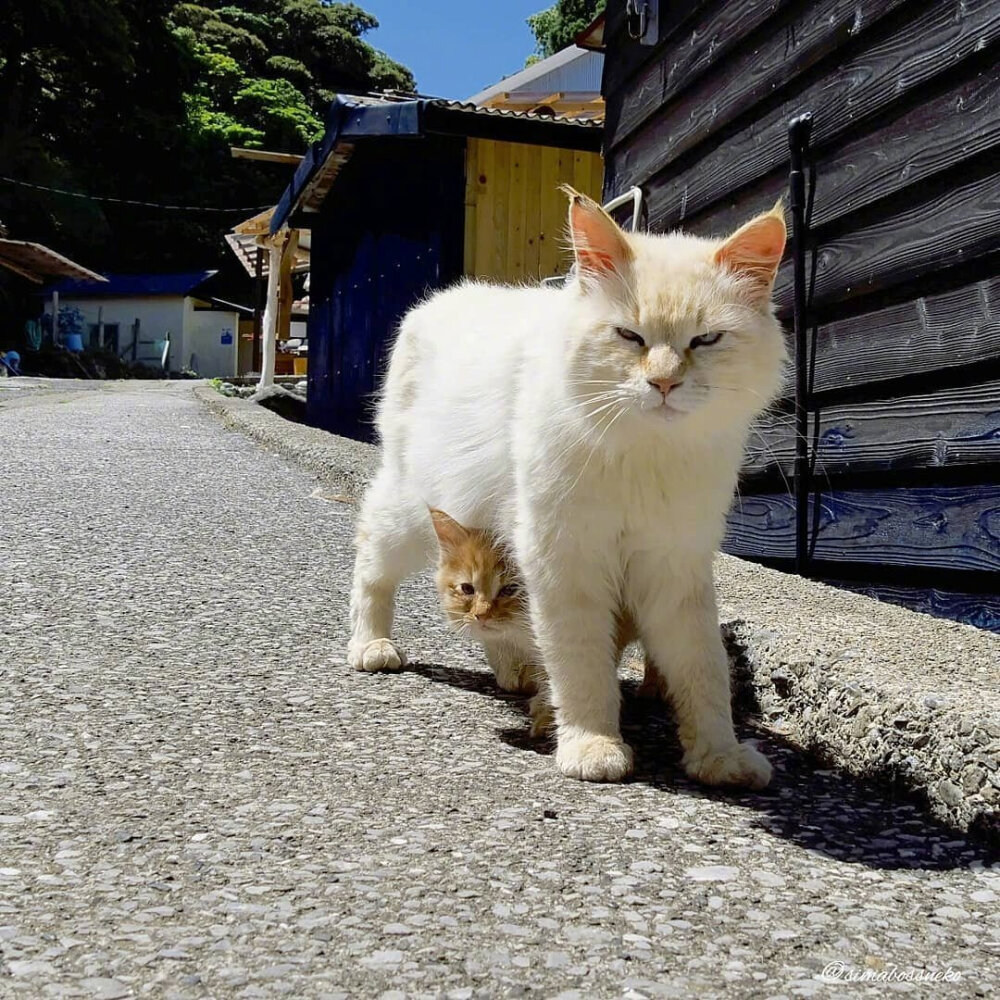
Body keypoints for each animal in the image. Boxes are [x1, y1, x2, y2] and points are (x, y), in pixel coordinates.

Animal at [352, 189, 788, 788]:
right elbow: (581, 665)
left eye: (706, 340)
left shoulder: (676, 566)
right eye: (630, 336)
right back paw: (370, 644)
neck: (644, 450)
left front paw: (719, 757)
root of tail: (439, 300)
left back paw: (513, 672)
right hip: (412, 506)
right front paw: (593, 746)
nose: (664, 383)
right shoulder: (566, 560)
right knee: (372, 559)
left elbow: (703, 670)